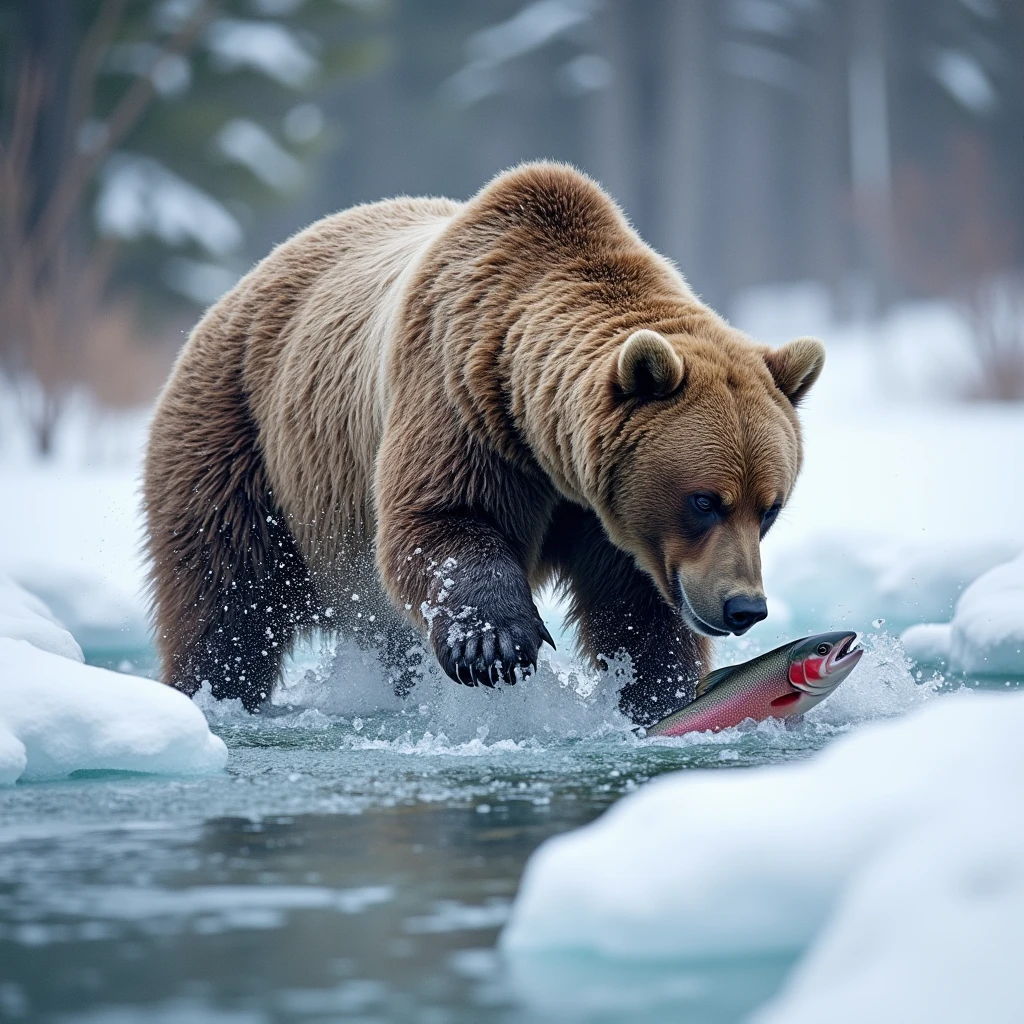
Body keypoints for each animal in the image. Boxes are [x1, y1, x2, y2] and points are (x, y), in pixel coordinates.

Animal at [146, 161, 823, 720]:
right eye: (704, 500)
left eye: (770, 507)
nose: (744, 608)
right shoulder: (459, 397)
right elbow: (442, 518)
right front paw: (496, 644)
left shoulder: (609, 522)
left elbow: (638, 613)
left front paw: (660, 692)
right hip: (242, 435)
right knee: (225, 595)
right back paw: (211, 694)